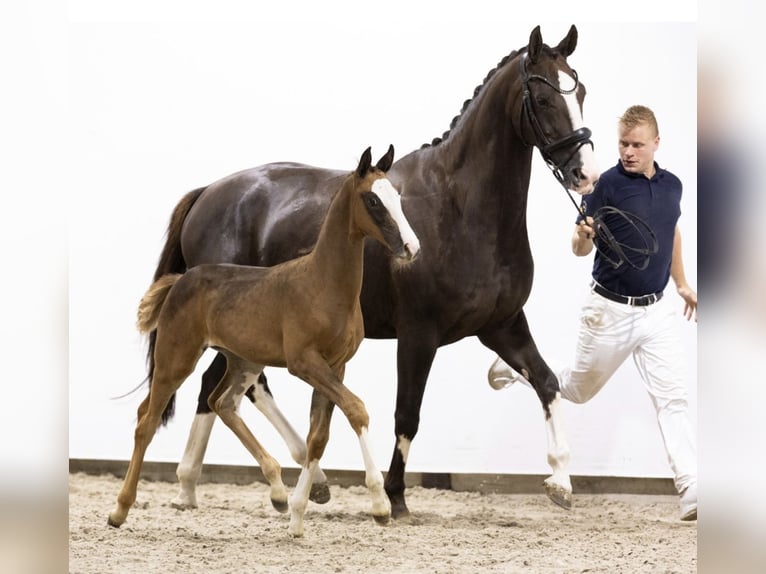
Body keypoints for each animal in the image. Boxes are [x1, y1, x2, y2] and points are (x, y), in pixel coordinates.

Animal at [108, 146, 420, 536]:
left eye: (398, 198)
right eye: (373, 200)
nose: (411, 247)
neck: (323, 283)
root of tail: (181, 279)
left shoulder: (335, 367)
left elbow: (319, 436)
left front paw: (298, 516)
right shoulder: (304, 363)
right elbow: (357, 409)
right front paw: (379, 505)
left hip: (242, 361)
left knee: (220, 402)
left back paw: (277, 492)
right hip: (176, 358)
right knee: (147, 420)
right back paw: (120, 510)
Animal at [152, 23, 592, 520]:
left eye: (581, 92)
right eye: (544, 98)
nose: (584, 172)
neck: (460, 208)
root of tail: (209, 192)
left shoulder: (502, 325)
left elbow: (547, 382)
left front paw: (560, 481)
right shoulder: (419, 333)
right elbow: (407, 413)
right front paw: (395, 497)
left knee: (222, 386)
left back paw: (197, 485)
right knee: (238, 386)